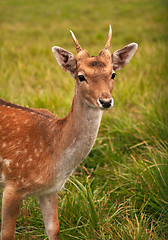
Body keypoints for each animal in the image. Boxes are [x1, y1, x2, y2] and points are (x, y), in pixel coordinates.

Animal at [0, 25, 138, 239]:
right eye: (81, 76)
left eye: (113, 74)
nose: (106, 101)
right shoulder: (13, 185)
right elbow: (7, 234)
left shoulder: (50, 189)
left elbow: (54, 228)